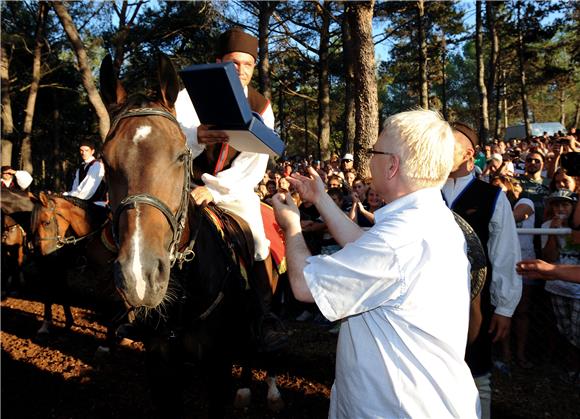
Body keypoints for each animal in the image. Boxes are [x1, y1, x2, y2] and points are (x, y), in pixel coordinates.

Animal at [100, 54, 286, 418]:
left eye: (178, 155)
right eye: (105, 159)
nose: (140, 275)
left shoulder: (217, 367)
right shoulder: (160, 367)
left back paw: (270, 390)